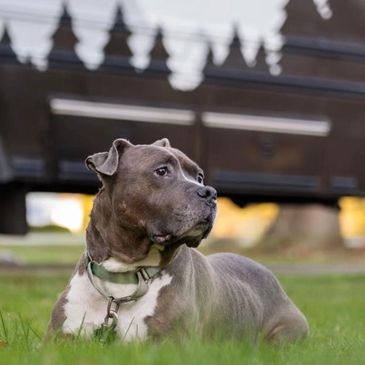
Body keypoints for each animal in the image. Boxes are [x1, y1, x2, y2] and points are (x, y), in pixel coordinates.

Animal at [47, 138, 306, 342]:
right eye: (161, 171)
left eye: (199, 176)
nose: (210, 192)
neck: (124, 276)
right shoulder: (59, 338)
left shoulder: (168, 343)